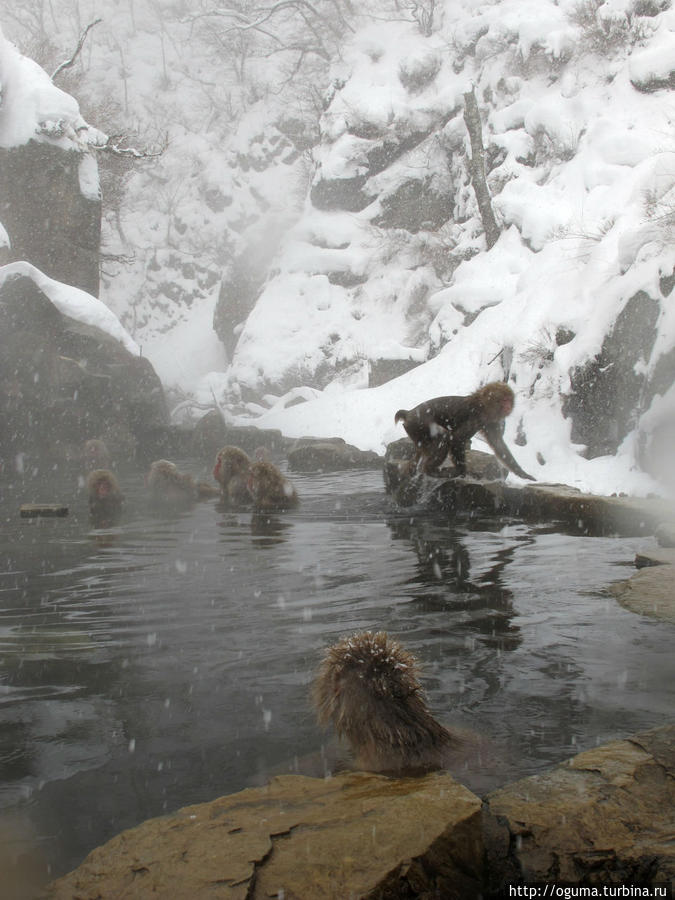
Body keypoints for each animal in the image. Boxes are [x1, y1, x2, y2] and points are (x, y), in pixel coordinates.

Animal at [396, 378, 532, 482]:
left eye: (509, 399)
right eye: (504, 400)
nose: (508, 406)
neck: (483, 406)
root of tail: (409, 413)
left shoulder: (490, 422)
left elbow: (498, 444)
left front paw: (522, 473)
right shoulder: (473, 416)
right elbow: (456, 439)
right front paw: (462, 471)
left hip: (415, 432)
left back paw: (414, 466)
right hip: (419, 425)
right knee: (443, 437)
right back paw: (430, 470)